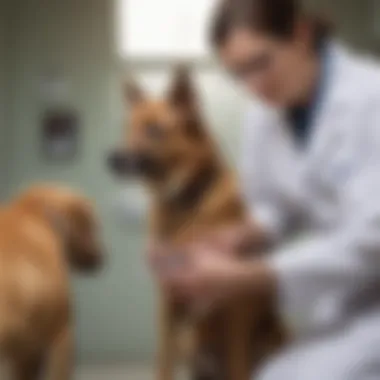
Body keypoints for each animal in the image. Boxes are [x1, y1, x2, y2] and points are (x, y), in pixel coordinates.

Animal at [108, 67, 286, 380]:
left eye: (155, 130)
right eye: (127, 128)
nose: (112, 159)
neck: (185, 204)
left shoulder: (234, 306)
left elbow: (238, 364)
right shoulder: (169, 304)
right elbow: (163, 365)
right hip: (190, 343)